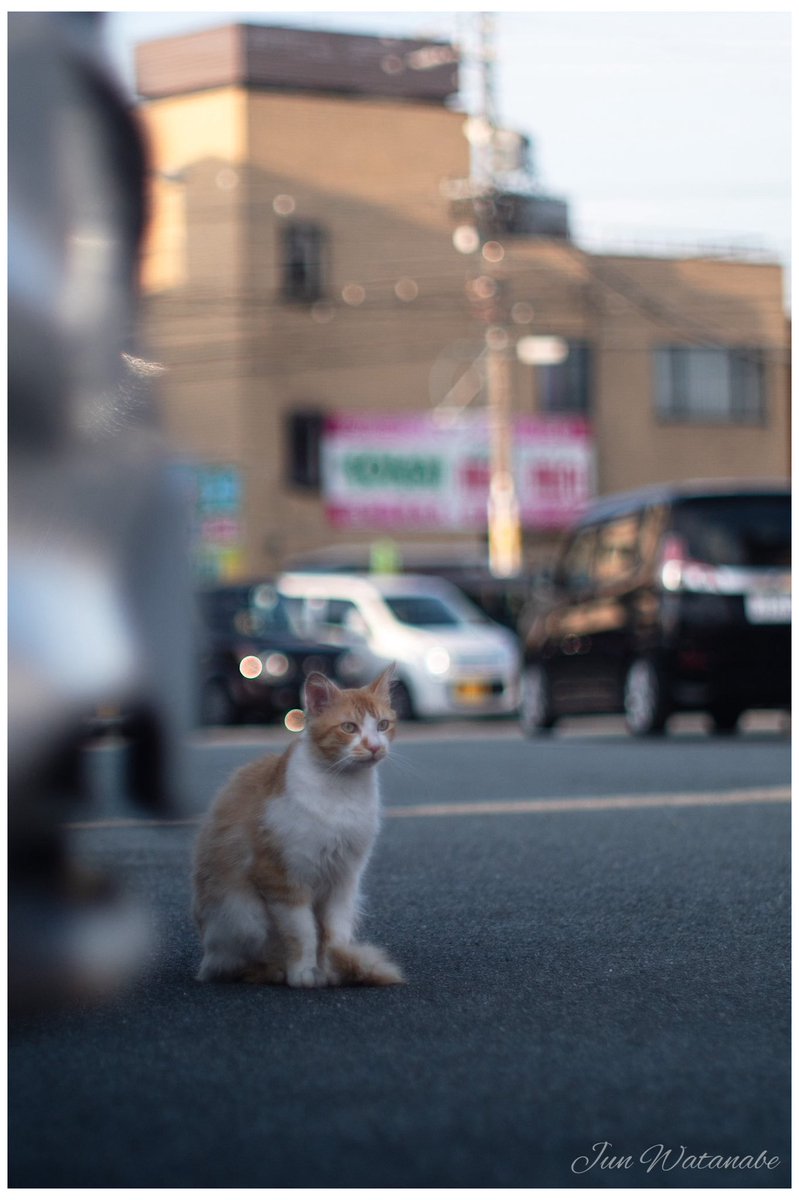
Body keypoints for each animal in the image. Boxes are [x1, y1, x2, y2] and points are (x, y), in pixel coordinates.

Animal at [191, 667, 405, 984]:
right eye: (349, 728)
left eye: (382, 725)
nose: (375, 746)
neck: (342, 790)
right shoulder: (282, 878)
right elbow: (302, 932)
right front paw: (303, 971)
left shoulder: (344, 879)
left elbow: (335, 933)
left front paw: (332, 968)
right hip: (244, 917)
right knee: (235, 965)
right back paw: (272, 970)